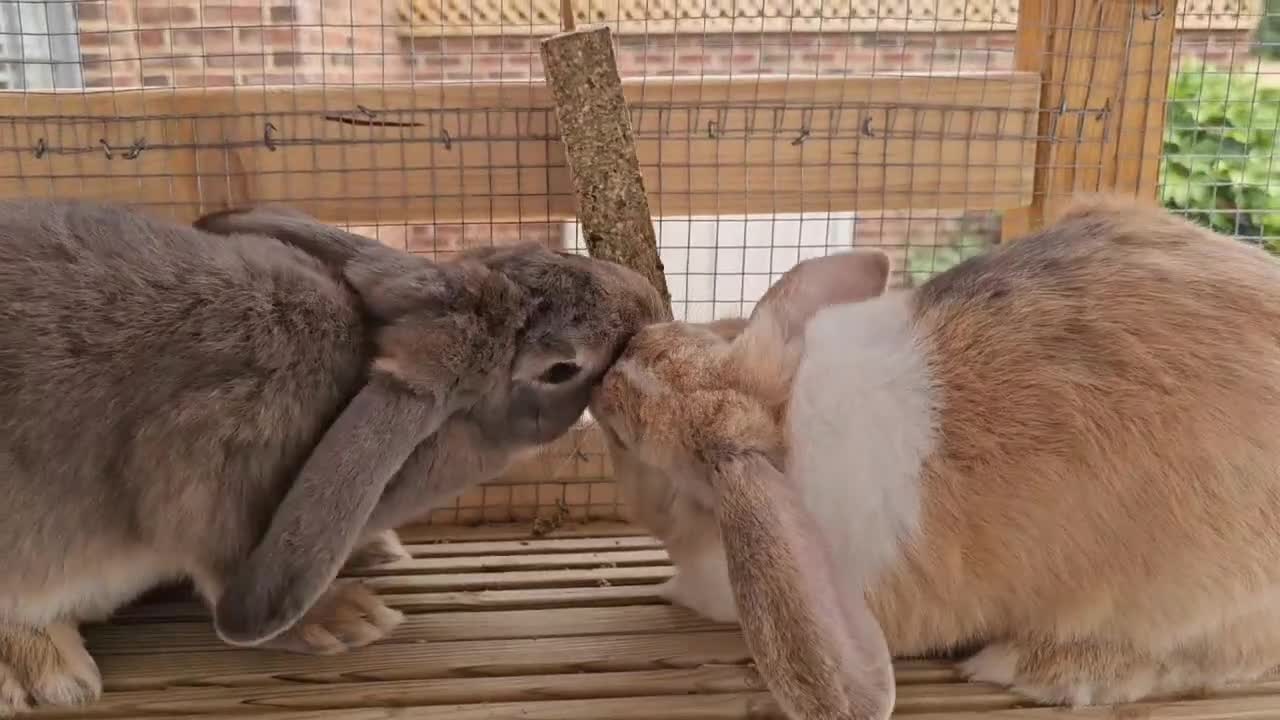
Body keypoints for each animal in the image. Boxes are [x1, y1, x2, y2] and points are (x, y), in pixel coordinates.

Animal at [0, 199, 665, 715]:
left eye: (537, 251)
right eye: (561, 369)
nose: (650, 301)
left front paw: (371, 551)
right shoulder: (211, 463)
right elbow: (224, 571)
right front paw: (338, 617)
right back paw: (47, 672)